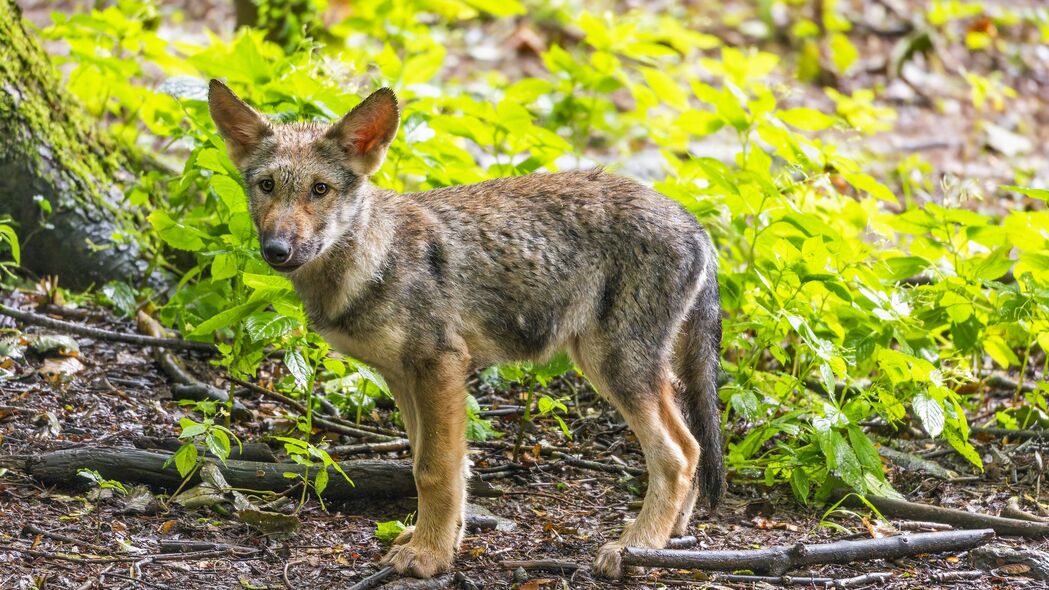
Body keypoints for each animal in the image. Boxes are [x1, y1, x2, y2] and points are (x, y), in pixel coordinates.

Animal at [208, 80, 725, 575]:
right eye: (267, 186)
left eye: (319, 190)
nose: (276, 250)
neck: (374, 261)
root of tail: (695, 224)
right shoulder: (404, 377)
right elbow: (440, 466)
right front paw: (436, 542)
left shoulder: (440, 366)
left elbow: (433, 471)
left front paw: (428, 557)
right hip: (620, 368)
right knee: (695, 446)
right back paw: (670, 537)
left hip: (613, 367)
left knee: (676, 456)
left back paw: (635, 546)